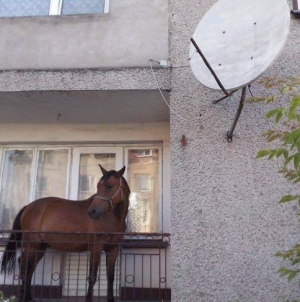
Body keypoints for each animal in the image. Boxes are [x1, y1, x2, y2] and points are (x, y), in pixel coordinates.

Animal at [0, 165, 130, 302]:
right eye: (98, 186)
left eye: (109, 186)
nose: (92, 211)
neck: (112, 217)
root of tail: (27, 207)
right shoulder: (96, 247)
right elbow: (92, 276)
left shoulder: (113, 249)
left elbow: (110, 277)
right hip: (33, 245)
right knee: (25, 265)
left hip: (40, 247)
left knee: (29, 267)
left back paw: (28, 297)